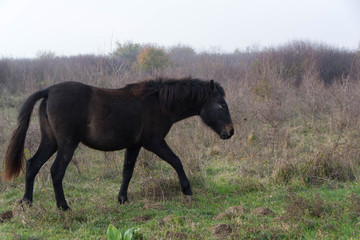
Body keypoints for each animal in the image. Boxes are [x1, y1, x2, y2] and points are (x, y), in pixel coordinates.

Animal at [4, 77, 235, 210]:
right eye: (221, 105)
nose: (230, 132)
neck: (158, 102)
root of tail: (49, 91)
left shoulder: (134, 145)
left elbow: (127, 171)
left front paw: (122, 199)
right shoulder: (154, 142)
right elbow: (177, 161)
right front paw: (187, 191)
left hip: (50, 142)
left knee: (33, 164)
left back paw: (27, 202)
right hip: (67, 144)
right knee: (56, 171)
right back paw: (63, 206)